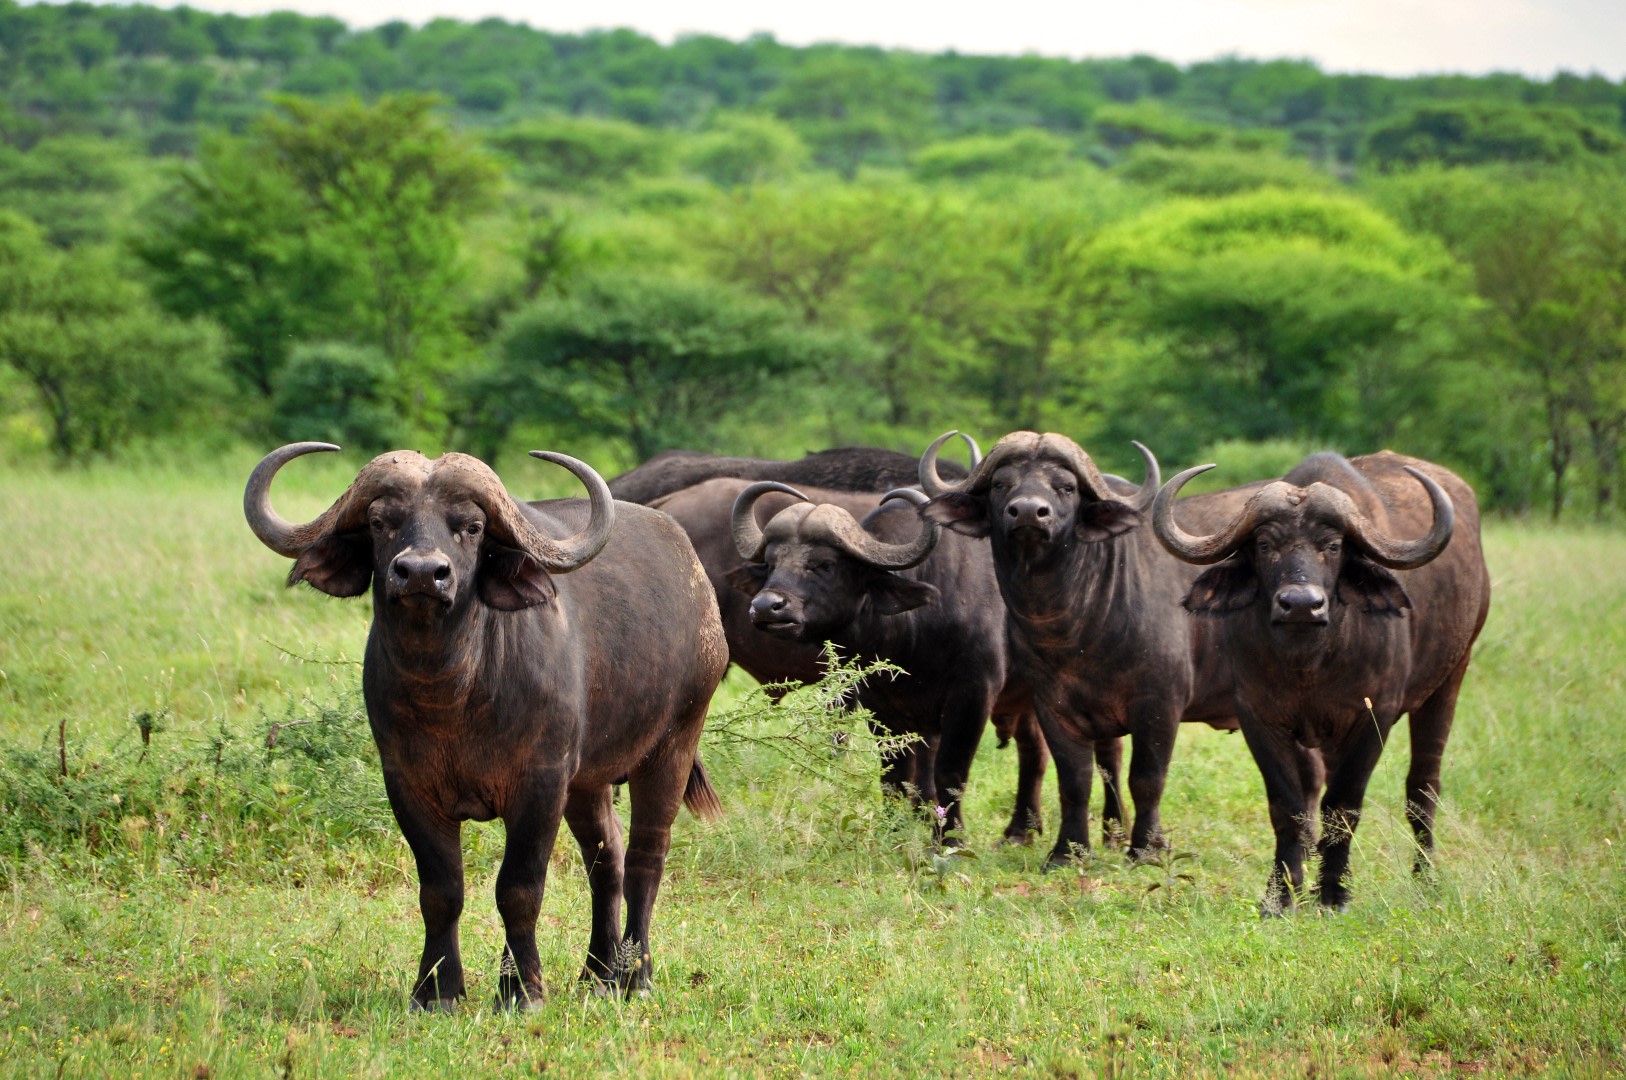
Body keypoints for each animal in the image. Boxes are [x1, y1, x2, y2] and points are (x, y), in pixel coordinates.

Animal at [240, 439, 725, 1001]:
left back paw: (635, 976)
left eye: (471, 527)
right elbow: (441, 891)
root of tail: (700, 587)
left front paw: (521, 990)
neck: (454, 694)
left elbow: (519, 889)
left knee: (648, 856)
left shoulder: (540, 782)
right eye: (381, 522)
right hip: (588, 780)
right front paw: (436, 991)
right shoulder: (408, 785)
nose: (422, 573)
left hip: (673, 743)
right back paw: (596, 973)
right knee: (607, 857)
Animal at [1151, 445, 1489, 910]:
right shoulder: (1258, 716)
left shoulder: (1374, 715)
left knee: (1423, 788)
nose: (1300, 604)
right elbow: (1289, 805)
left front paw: (1334, 893)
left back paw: (1426, 878)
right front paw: (1281, 894)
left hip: (1451, 677)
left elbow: (1342, 805)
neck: (1309, 663)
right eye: (1265, 544)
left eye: (1332, 546)